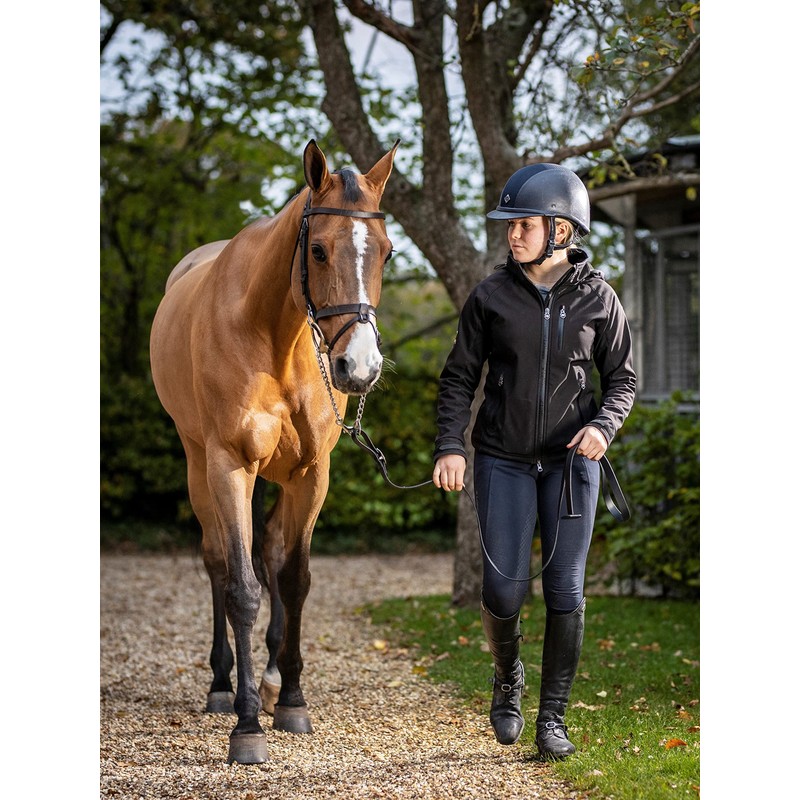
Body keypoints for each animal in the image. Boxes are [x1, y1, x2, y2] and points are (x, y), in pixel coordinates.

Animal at [149, 139, 399, 764]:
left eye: (385, 252)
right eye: (317, 249)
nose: (359, 367)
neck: (275, 334)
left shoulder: (311, 475)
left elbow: (293, 579)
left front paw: (290, 700)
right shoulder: (231, 466)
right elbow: (242, 587)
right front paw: (246, 728)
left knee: (271, 551)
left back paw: (266, 681)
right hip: (199, 465)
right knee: (218, 560)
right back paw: (222, 686)